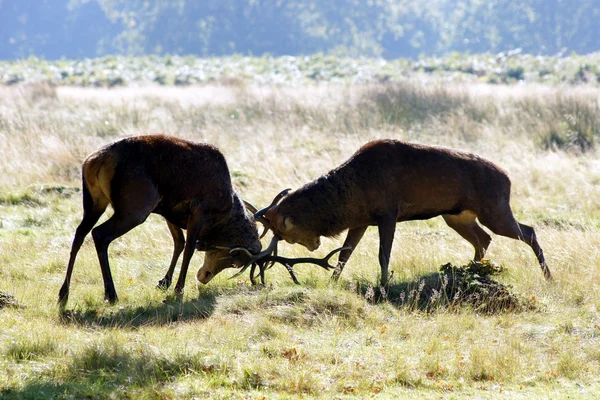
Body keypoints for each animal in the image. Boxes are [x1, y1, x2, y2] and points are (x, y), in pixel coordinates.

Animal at [58, 134, 260, 306]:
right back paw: (111, 294)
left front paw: (164, 282)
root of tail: (94, 161)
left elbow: (179, 243)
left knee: (80, 233)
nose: (203, 278)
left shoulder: (168, 212)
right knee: (99, 234)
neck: (224, 209)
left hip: (94, 202)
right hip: (135, 208)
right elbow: (189, 248)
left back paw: (64, 294)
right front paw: (179, 289)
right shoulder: (199, 210)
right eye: (235, 260)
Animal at [255, 139, 552, 286]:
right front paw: (332, 280)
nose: (314, 245)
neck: (353, 195)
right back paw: (472, 270)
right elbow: (344, 254)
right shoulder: (361, 221)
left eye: (284, 233)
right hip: (456, 216)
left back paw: (547, 275)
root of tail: (508, 178)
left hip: (495, 208)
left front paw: (384, 283)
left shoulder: (388, 212)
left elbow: (383, 254)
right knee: (483, 239)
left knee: (528, 231)